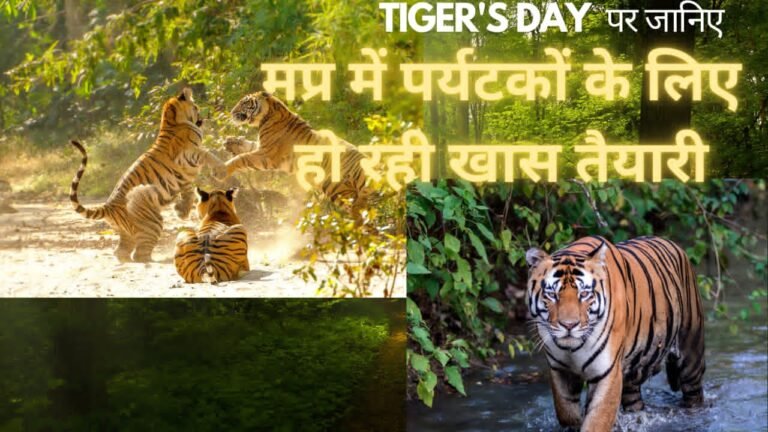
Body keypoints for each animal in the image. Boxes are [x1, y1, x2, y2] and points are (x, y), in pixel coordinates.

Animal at [69, 88, 226, 262]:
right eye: (196, 107)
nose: (204, 116)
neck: (170, 120)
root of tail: (108, 206)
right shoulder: (188, 155)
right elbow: (207, 154)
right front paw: (221, 170)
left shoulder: (183, 175)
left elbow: (188, 192)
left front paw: (181, 211)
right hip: (151, 222)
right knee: (140, 254)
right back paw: (161, 259)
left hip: (126, 231)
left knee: (121, 251)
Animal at [223, 91, 370, 213]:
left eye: (244, 103)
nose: (231, 112)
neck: (267, 116)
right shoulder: (262, 147)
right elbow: (248, 146)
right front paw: (231, 142)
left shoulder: (268, 154)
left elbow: (243, 158)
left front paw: (221, 170)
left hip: (338, 189)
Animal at [526, 235, 705, 432]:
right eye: (551, 294)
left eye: (584, 293)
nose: (569, 325)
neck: (572, 349)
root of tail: (671, 243)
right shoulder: (560, 370)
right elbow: (566, 413)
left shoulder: (607, 372)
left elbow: (596, 421)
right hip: (632, 375)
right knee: (634, 401)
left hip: (691, 354)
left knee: (693, 393)